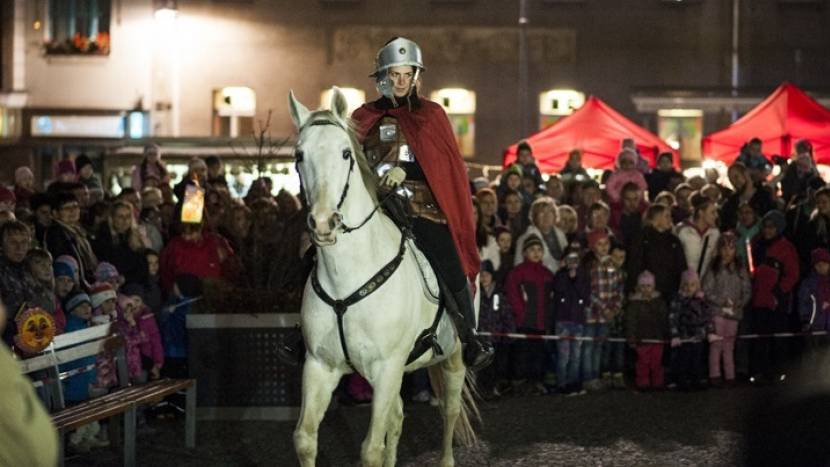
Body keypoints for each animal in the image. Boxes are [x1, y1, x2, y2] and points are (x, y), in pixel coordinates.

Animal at [290, 88, 478, 467]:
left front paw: (396, 176)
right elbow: (305, 439)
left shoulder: (387, 367)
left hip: (453, 358)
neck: (346, 278)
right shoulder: (320, 366)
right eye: (299, 155)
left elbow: (371, 450)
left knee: (449, 411)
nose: (323, 223)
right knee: (398, 416)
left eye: (345, 152)